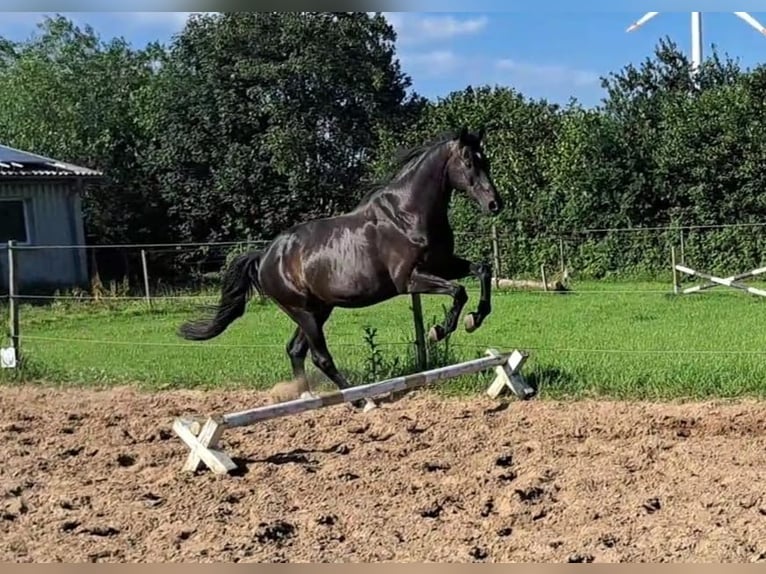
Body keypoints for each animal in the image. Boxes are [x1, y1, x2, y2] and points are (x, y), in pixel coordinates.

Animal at [177, 127, 508, 412]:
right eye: (469, 161)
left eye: (487, 161)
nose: (495, 204)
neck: (407, 214)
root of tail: (266, 255)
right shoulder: (409, 280)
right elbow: (459, 291)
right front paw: (440, 330)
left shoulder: (444, 264)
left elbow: (482, 270)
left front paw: (474, 319)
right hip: (303, 311)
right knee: (320, 356)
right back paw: (361, 401)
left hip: (319, 309)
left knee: (295, 349)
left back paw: (308, 397)